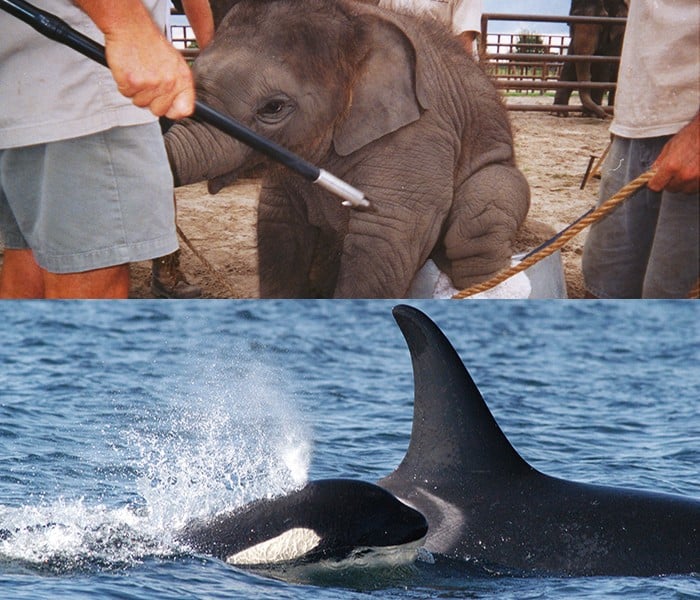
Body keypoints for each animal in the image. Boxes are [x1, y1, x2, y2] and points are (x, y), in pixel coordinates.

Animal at [165, 0, 532, 298]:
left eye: (273, 108)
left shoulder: (421, 134)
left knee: (478, 222)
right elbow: (276, 225)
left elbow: (386, 237)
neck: (358, 22)